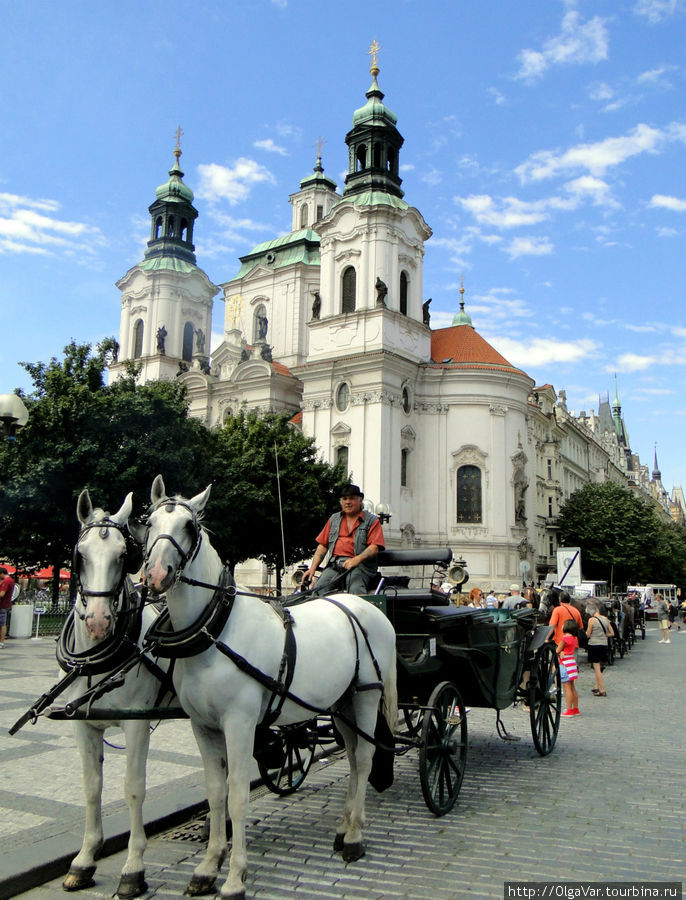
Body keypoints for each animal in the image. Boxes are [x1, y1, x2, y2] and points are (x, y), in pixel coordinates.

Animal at [140, 474, 398, 896]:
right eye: (148, 523)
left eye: (189, 526)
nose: (157, 575)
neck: (215, 630)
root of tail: (362, 605)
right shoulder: (203, 727)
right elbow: (216, 794)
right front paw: (207, 867)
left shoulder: (240, 724)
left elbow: (238, 797)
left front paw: (234, 877)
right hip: (341, 703)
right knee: (353, 758)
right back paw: (344, 828)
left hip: (365, 696)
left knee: (364, 758)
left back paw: (355, 838)